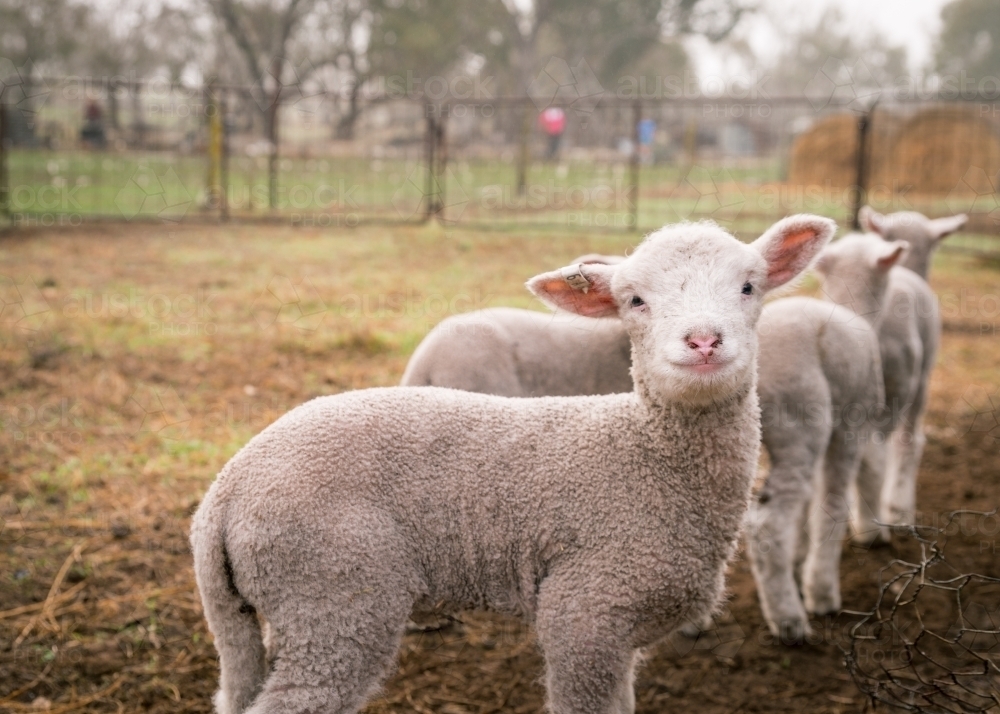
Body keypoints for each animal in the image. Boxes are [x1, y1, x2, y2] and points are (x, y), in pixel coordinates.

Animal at [191, 216, 832, 712]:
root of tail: (224, 495)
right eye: (635, 301)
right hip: (336, 597)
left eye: (749, 287)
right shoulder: (586, 614)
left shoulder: (622, 638)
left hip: (269, 611)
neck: (644, 456)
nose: (702, 342)